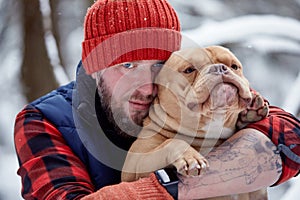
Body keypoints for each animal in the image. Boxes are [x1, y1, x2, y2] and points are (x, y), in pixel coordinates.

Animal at [121, 45, 268, 183]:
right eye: (189, 70)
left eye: (234, 66)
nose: (219, 68)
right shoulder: (133, 165)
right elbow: (171, 141)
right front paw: (191, 158)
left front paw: (252, 110)